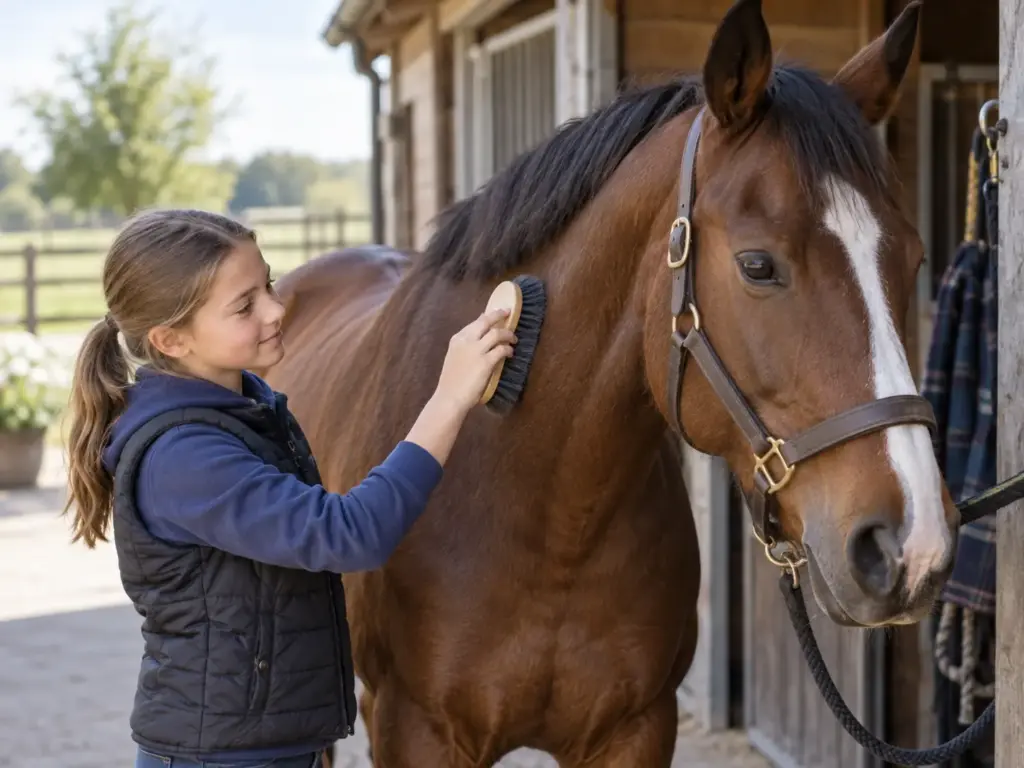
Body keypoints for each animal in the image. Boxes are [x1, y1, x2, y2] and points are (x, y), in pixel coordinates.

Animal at [260, 0, 958, 764]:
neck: (545, 510)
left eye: (915, 259)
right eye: (757, 265)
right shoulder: (414, 731)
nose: (910, 546)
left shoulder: (637, 729)